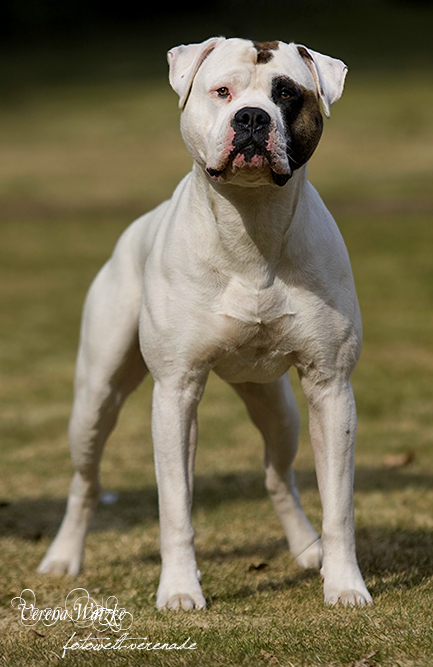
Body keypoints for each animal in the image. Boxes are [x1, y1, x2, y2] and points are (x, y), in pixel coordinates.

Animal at [38, 37, 372, 609]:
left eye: (287, 94)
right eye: (222, 92)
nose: (253, 118)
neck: (251, 225)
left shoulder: (331, 388)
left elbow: (340, 505)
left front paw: (345, 585)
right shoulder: (176, 391)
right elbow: (175, 506)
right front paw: (178, 591)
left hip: (279, 409)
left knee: (278, 476)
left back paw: (307, 549)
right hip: (95, 400)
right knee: (85, 481)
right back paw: (63, 556)